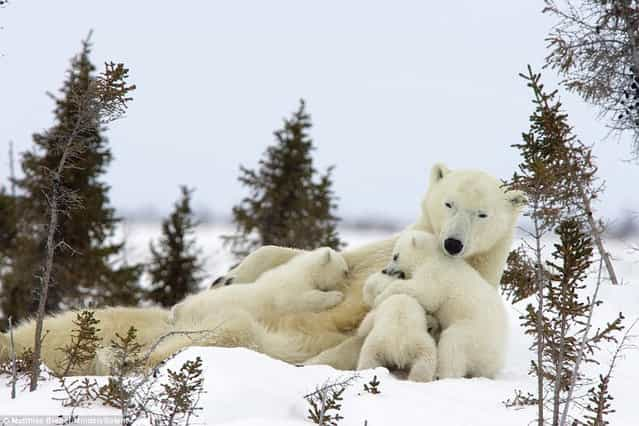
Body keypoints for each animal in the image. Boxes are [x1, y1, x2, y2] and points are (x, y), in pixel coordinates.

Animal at [370, 231, 510, 378]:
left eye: (395, 256)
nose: (385, 270)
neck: (432, 256)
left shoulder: (435, 273)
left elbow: (426, 294)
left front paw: (380, 297)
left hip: (473, 332)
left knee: (452, 345)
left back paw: (441, 374)